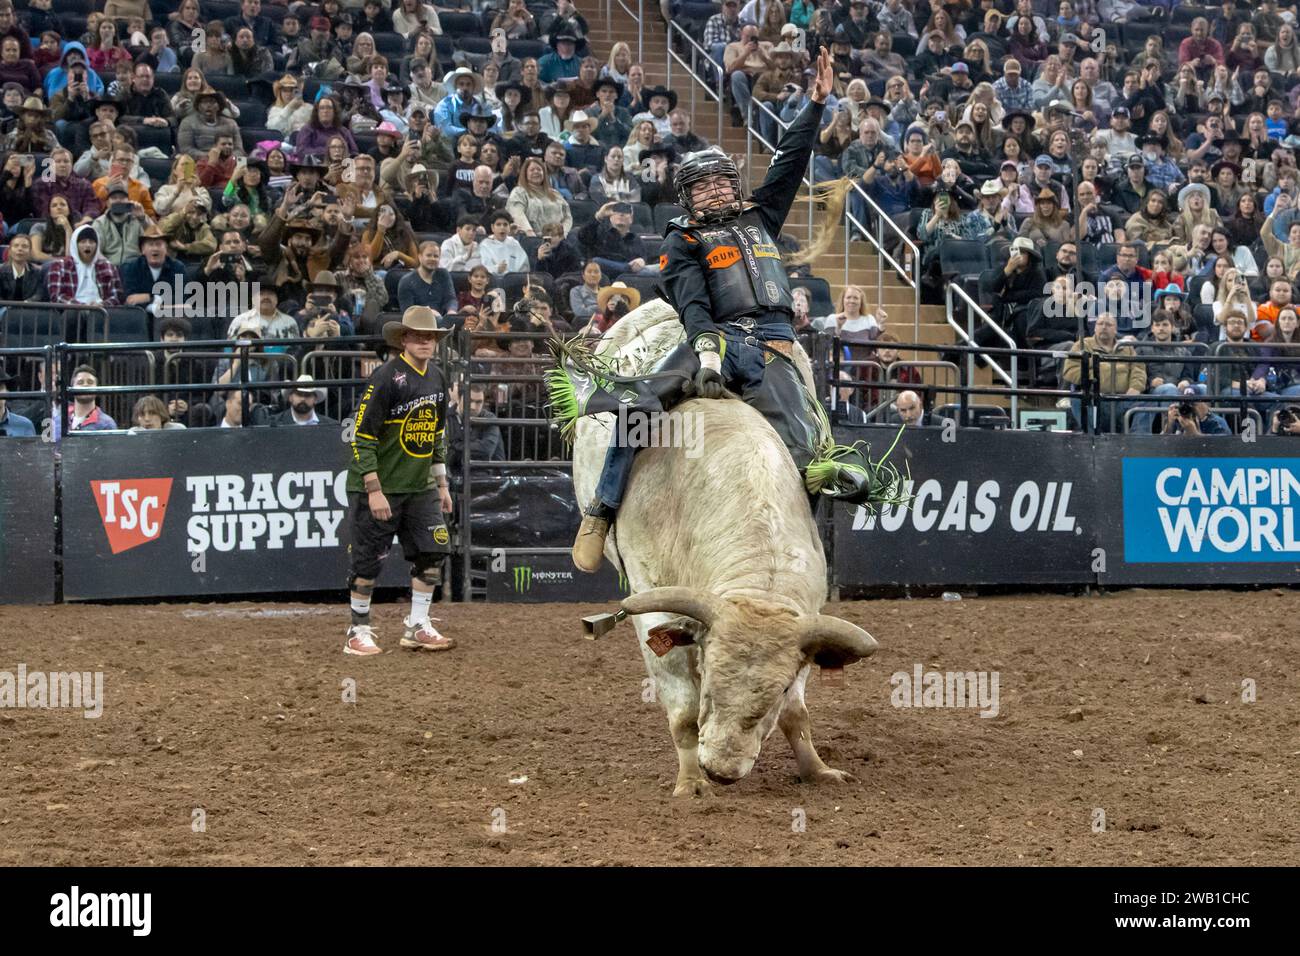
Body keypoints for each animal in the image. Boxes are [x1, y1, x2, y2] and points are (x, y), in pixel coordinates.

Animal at [569, 303, 873, 796]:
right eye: (711, 675)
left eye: (778, 689)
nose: (722, 771)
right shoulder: (653, 604)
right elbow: (684, 709)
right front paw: (692, 784)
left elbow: (797, 714)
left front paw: (816, 769)